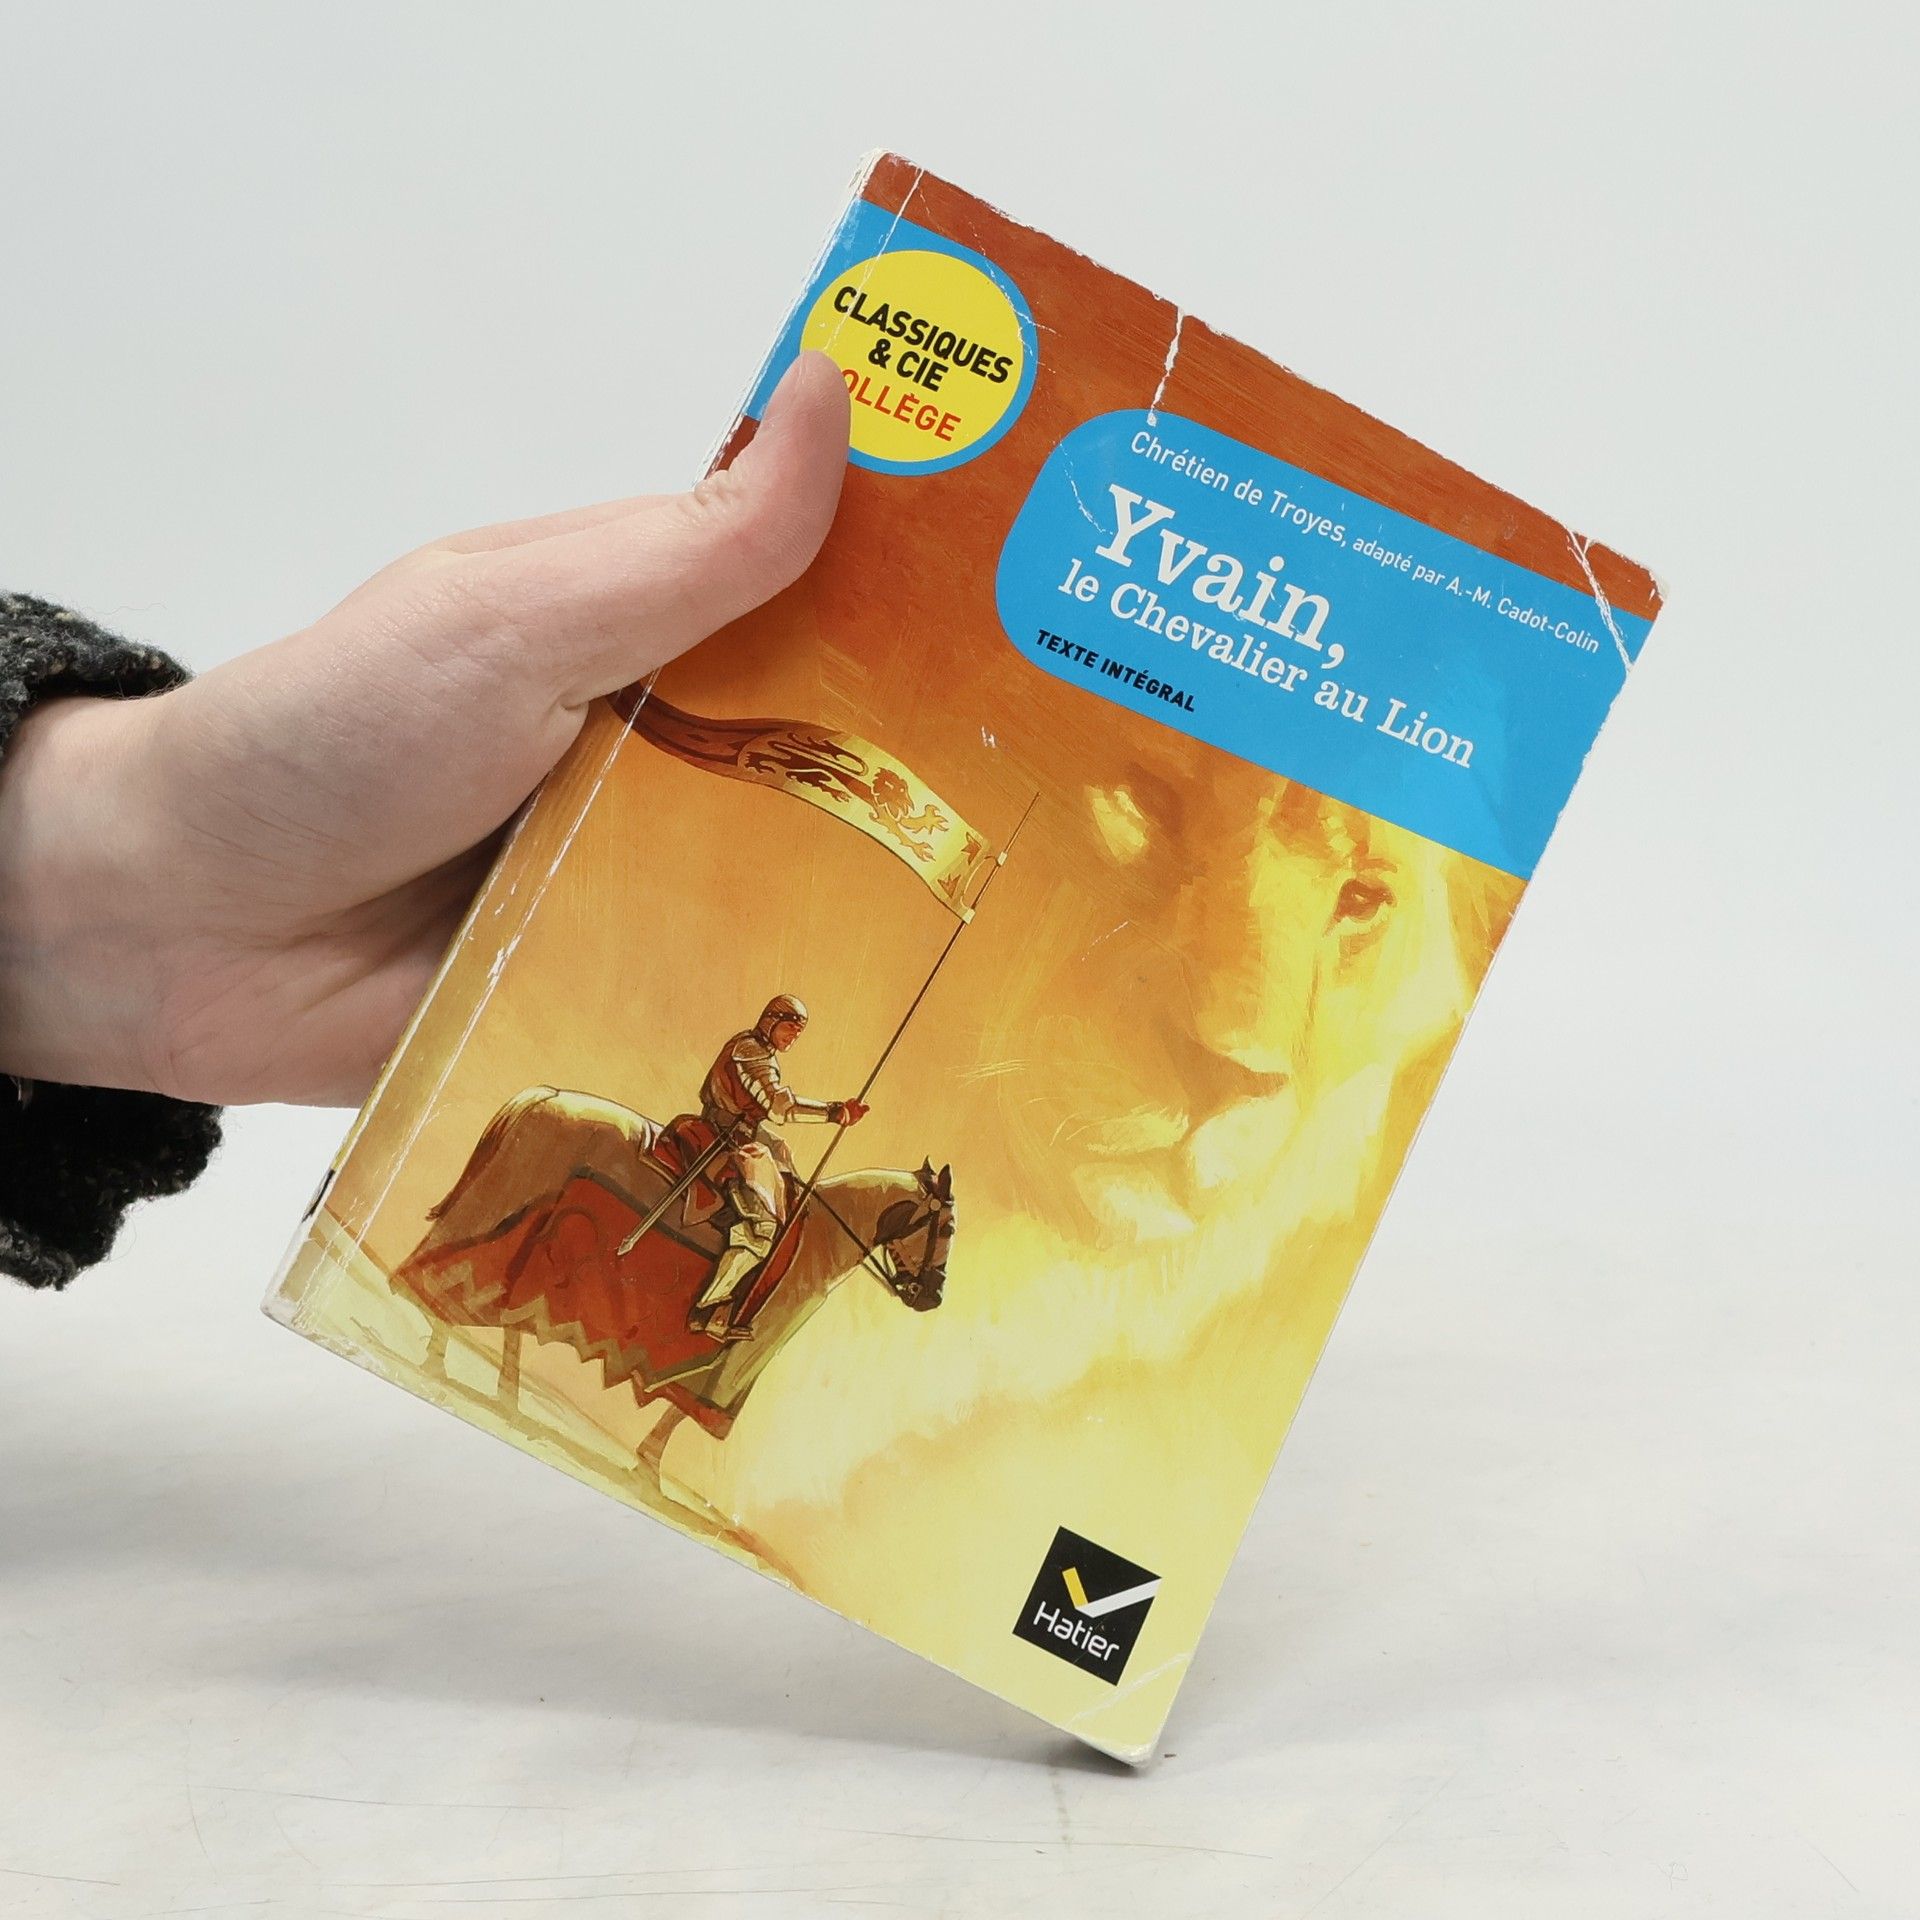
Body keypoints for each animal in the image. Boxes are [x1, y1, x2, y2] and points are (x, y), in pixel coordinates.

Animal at [388, 1087, 954, 1489]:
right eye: (947, 1227)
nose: (932, 1298)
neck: (817, 1234)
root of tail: (540, 1097)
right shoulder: (728, 1367)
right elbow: (681, 1411)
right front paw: (648, 1469)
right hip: (509, 1210)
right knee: (458, 1274)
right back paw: (444, 1360)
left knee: (505, 1304)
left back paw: (500, 1390)